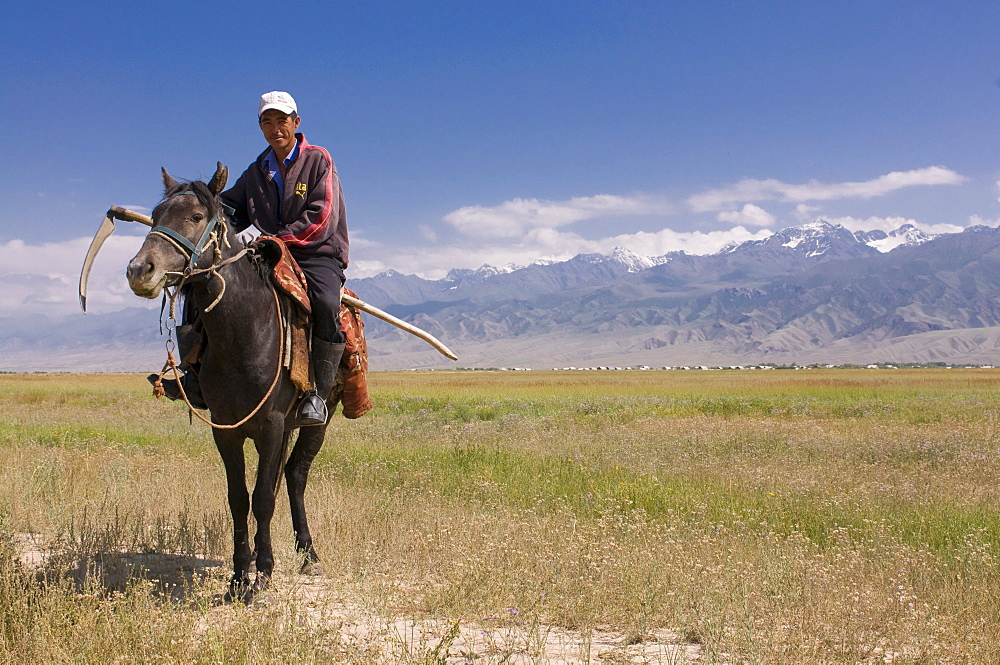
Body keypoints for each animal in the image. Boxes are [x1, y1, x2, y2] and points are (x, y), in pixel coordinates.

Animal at [124, 165, 328, 600]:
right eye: (156, 214)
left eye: (196, 216)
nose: (139, 271)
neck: (244, 332)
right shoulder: (225, 428)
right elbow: (238, 498)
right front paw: (238, 576)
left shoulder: (270, 426)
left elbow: (263, 497)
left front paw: (263, 574)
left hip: (318, 421)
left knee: (295, 476)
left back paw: (309, 555)